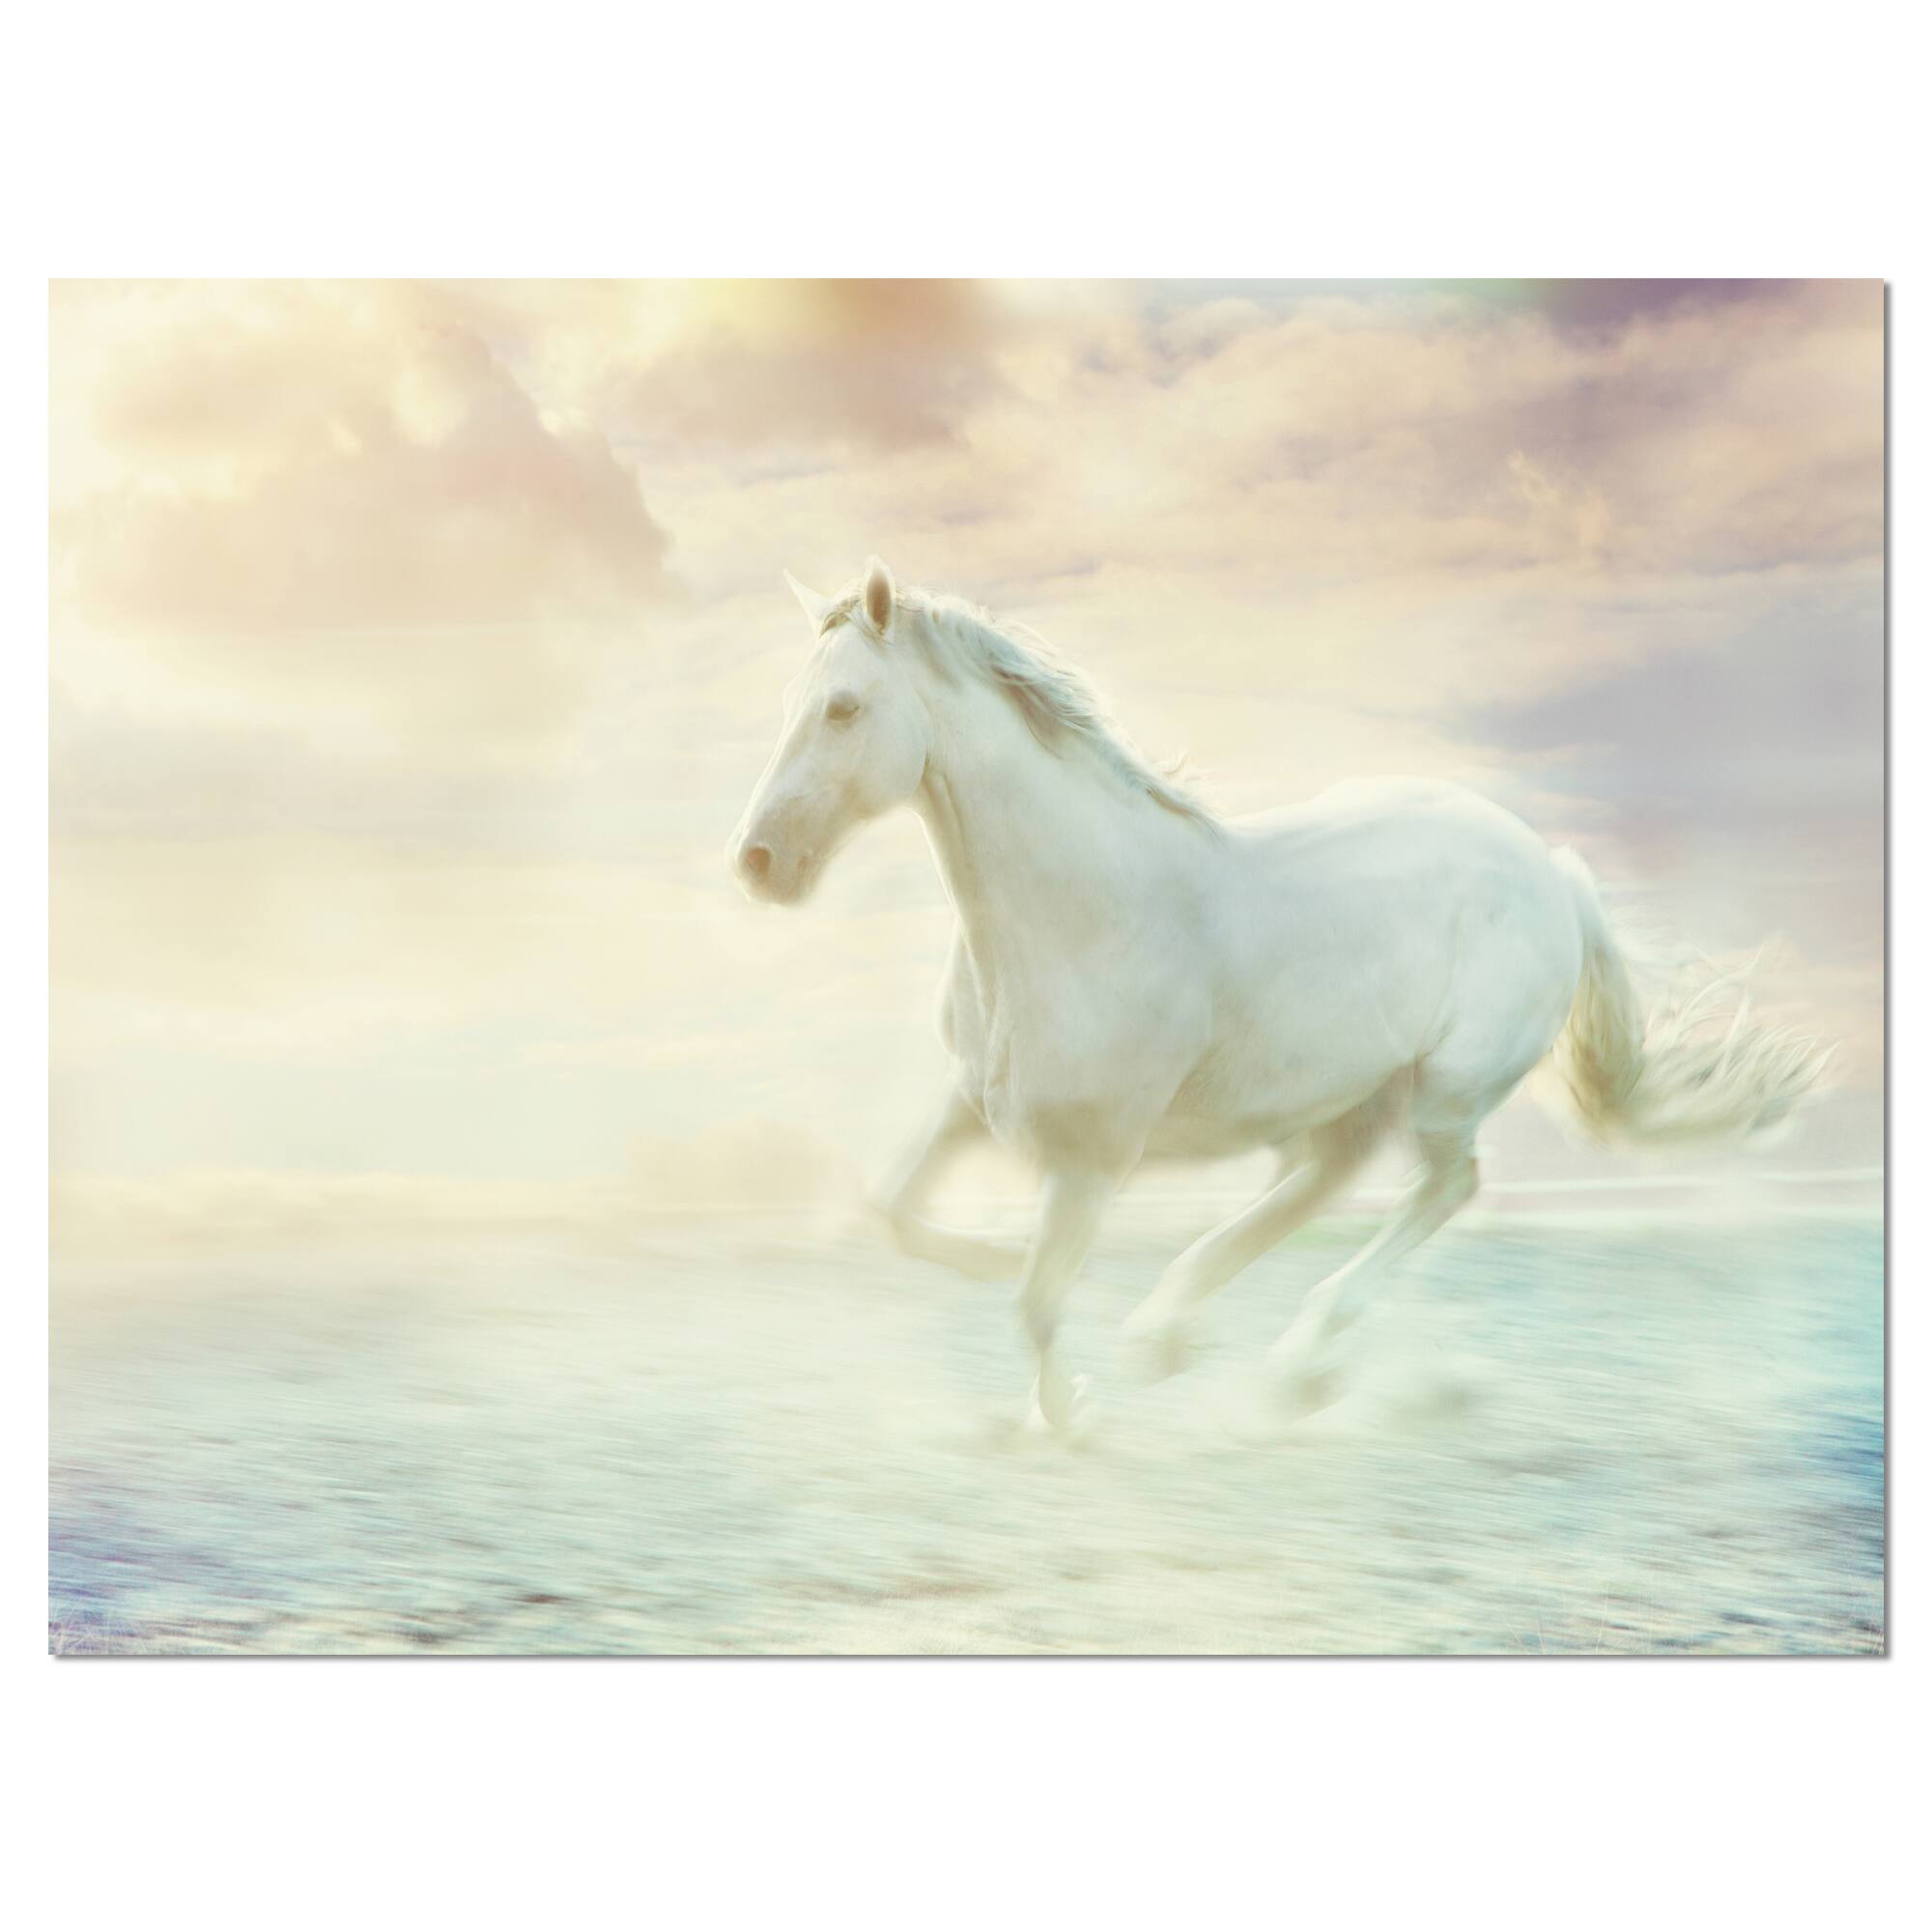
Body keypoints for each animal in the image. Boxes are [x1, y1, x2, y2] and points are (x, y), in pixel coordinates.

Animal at [729, 557, 1828, 1431]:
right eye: (786, 703)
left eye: (841, 707)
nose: (757, 862)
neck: (1080, 912)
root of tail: (1550, 871)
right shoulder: (973, 1101)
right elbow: (893, 1211)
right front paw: (1007, 1273)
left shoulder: (1092, 1155)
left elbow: (1035, 1305)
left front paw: (1071, 1413)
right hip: (1347, 1093)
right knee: (1324, 1182)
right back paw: (1175, 1332)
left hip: (1445, 1088)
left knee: (1441, 1189)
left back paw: (1297, 1362)